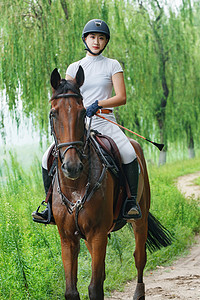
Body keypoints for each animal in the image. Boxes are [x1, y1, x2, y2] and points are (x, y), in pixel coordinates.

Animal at [48, 67, 172, 298]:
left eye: (82, 112)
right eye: (53, 113)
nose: (72, 166)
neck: (76, 187)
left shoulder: (97, 234)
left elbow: (95, 288)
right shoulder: (68, 238)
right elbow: (72, 290)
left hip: (139, 220)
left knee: (139, 257)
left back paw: (139, 293)